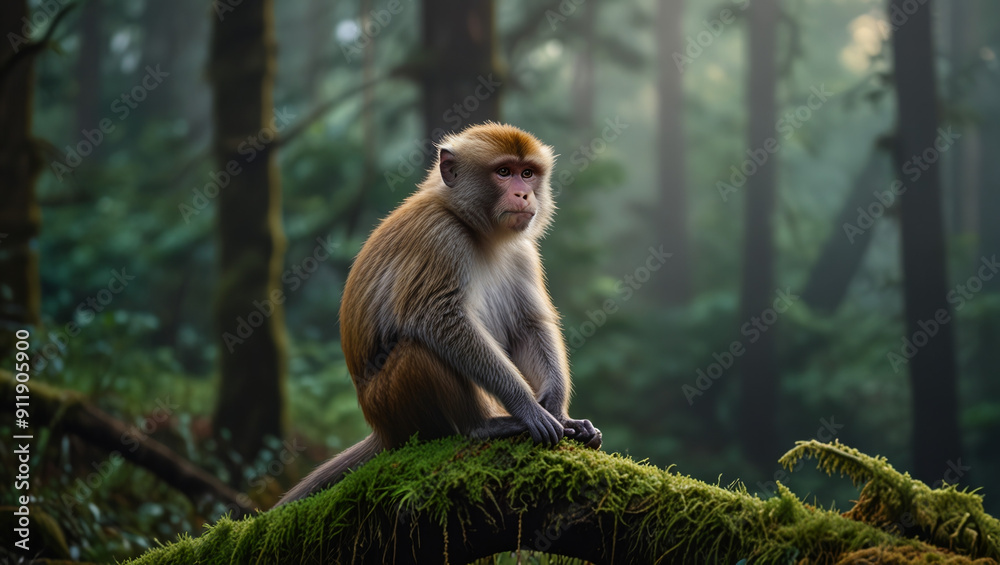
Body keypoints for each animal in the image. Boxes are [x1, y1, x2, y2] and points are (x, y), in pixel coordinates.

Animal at [276, 123, 601, 506]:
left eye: (527, 173)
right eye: (504, 172)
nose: (524, 195)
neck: (474, 228)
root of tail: (380, 429)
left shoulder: (522, 251)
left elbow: (528, 325)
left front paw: (557, 408)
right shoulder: (440, 238)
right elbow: (438, 319)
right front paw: (527, 407)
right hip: (390, 403)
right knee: (419, 348)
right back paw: (482, 426)